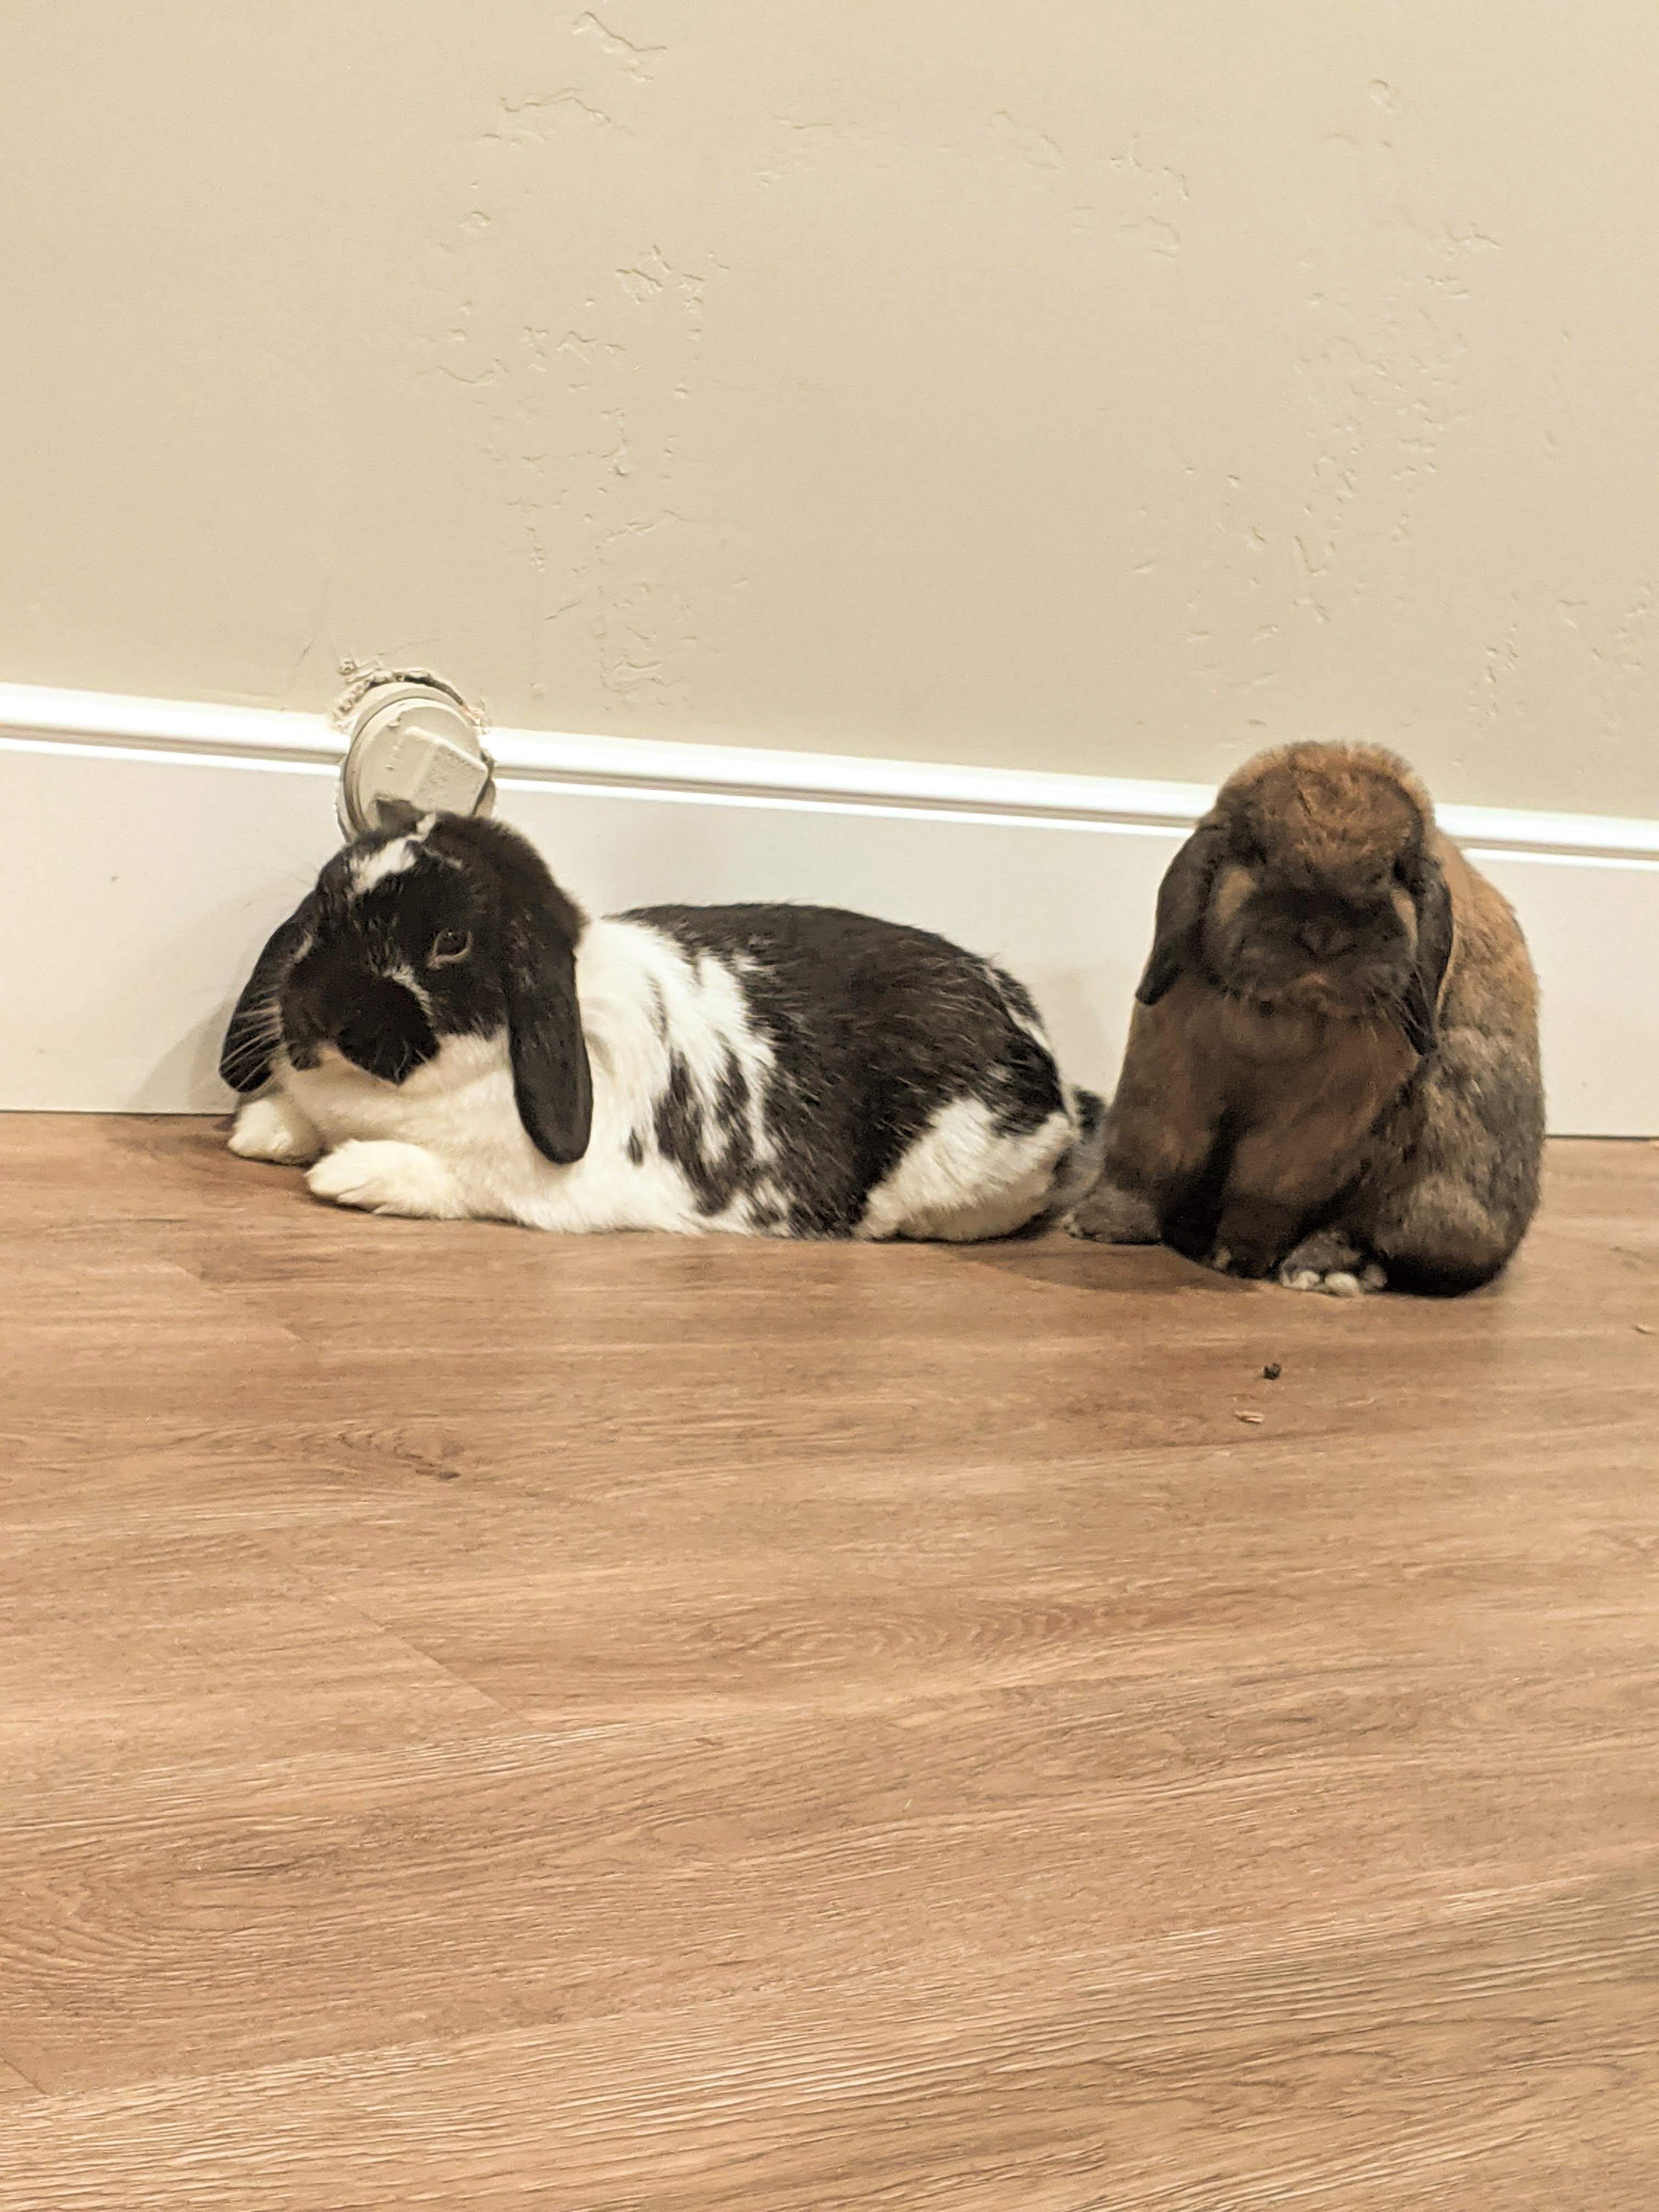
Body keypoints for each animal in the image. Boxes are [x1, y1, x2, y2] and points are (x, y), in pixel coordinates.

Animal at [220, 809, 1106, 1242]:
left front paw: (349, 1174)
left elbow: (453, 1180)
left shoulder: (545, 1185)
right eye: (320, 909)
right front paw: (262, 1130)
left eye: (451, 942)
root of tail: (1053, 1079)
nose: (322, 1011)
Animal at [1067, 741, 1544, 1296]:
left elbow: (1265, 1192)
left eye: (1397, 871)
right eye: (1256, 851)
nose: (1324, 933)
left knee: (1374, 1232)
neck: (1282, 1018)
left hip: (1434, 1185)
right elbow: (1148, 1156)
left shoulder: (1314, 1128)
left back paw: (1323, 1271)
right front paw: (1100, 1226)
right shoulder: (1166, 1078)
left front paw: (1237, 1258)